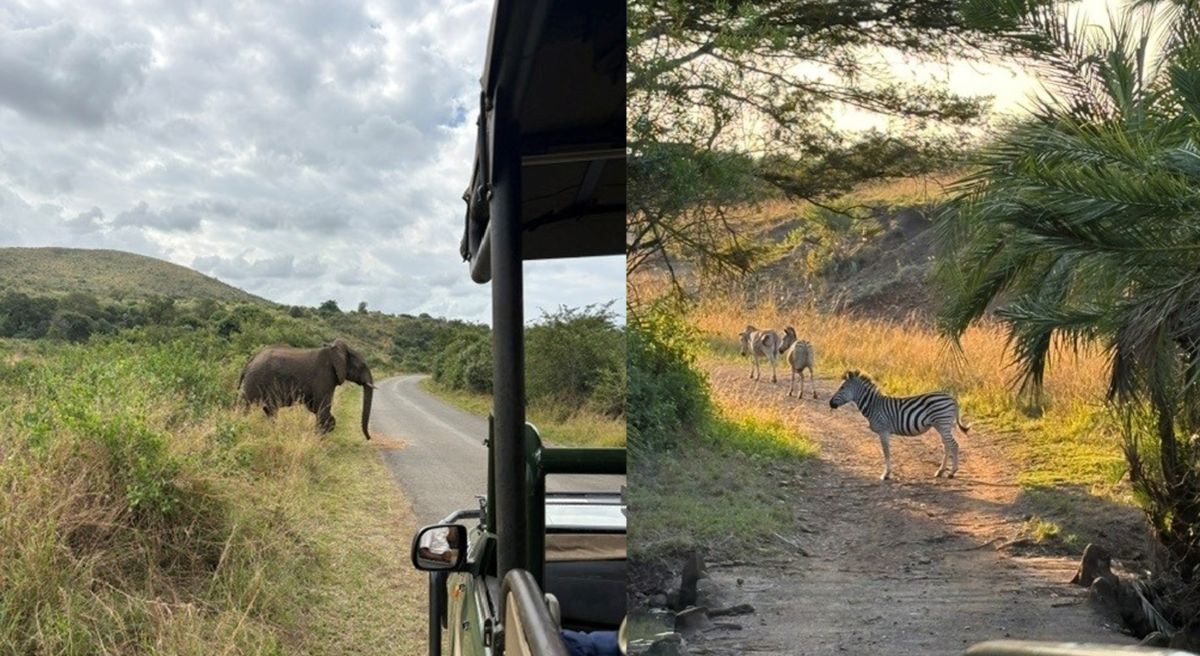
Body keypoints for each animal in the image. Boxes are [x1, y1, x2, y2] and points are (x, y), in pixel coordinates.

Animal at [238, 338, 375, 439]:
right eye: (362, 366)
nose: (368, 438)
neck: (334, 351)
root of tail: (250, 361)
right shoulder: (325, 376)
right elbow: (322, 407)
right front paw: (320, 439)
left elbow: (315, 407)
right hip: (254, 381)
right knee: (245, 406)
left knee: (270, 410)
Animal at [828, 370, 970, 480]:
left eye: (842, 388)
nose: (830, 403)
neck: (874, 405)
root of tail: (951, 398)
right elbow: (887, 452)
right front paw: (887, 473)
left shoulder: (883, 431)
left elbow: (886, 452)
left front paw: (886, 474)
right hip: (941, 425)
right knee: (947, 446)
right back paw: (940, 471)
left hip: (942, 423)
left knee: (954, 445)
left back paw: (952, 472)